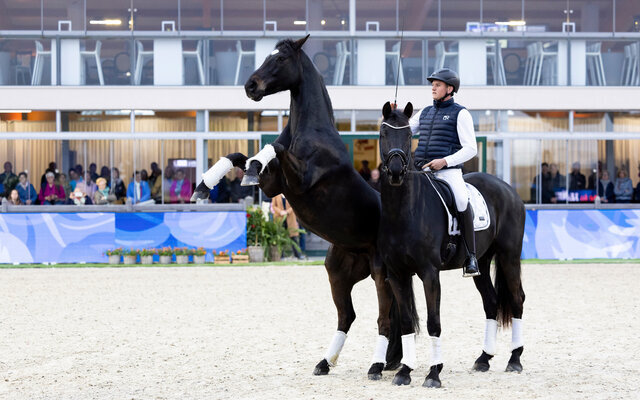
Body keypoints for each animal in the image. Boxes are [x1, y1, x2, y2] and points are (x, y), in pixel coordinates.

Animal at [191, 36, 418, 379]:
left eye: (281, 58)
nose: (250, 86)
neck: (312, 135)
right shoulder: (273, 186)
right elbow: (238, 155)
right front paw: (205, 185)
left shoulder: (297, 182)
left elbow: (273, 147)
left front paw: (251, 166)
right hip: (338, 271)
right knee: (349, 316)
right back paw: (329, 362)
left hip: (382, 271)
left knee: (384, 316)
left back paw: (377, 365)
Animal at [377, 101, 526, 387]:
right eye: (383, 134)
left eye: (408, 135)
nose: (396, 172)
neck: (404, 211)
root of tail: (509, 190)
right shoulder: (397, 273)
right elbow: (407, 323)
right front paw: (404, 371)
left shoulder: (429, 273)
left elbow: (434, 322)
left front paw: (433, 373)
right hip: (482, 262)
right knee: (491, 302)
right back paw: (484, 359)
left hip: (509, 257)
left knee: (516, 300)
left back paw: (515, 359)